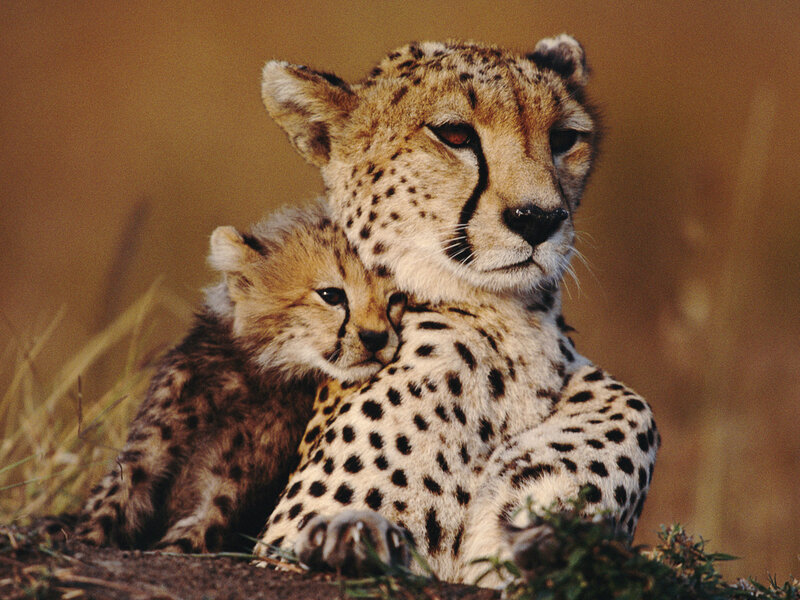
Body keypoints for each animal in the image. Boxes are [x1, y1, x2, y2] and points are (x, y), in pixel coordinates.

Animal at [75, 199, 406, 553]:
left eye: (396, 299)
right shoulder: (145, 457)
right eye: (331, 295)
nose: (376, 338)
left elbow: (187, 539)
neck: (258, 375)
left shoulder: (227, 495)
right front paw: (85, 537)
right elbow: (107, 505)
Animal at [253, 34, 659, 586]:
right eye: (455, 134)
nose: (538, 219)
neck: (510, 325)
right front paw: (352, 538)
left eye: (563, 138)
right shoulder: (277, 548)